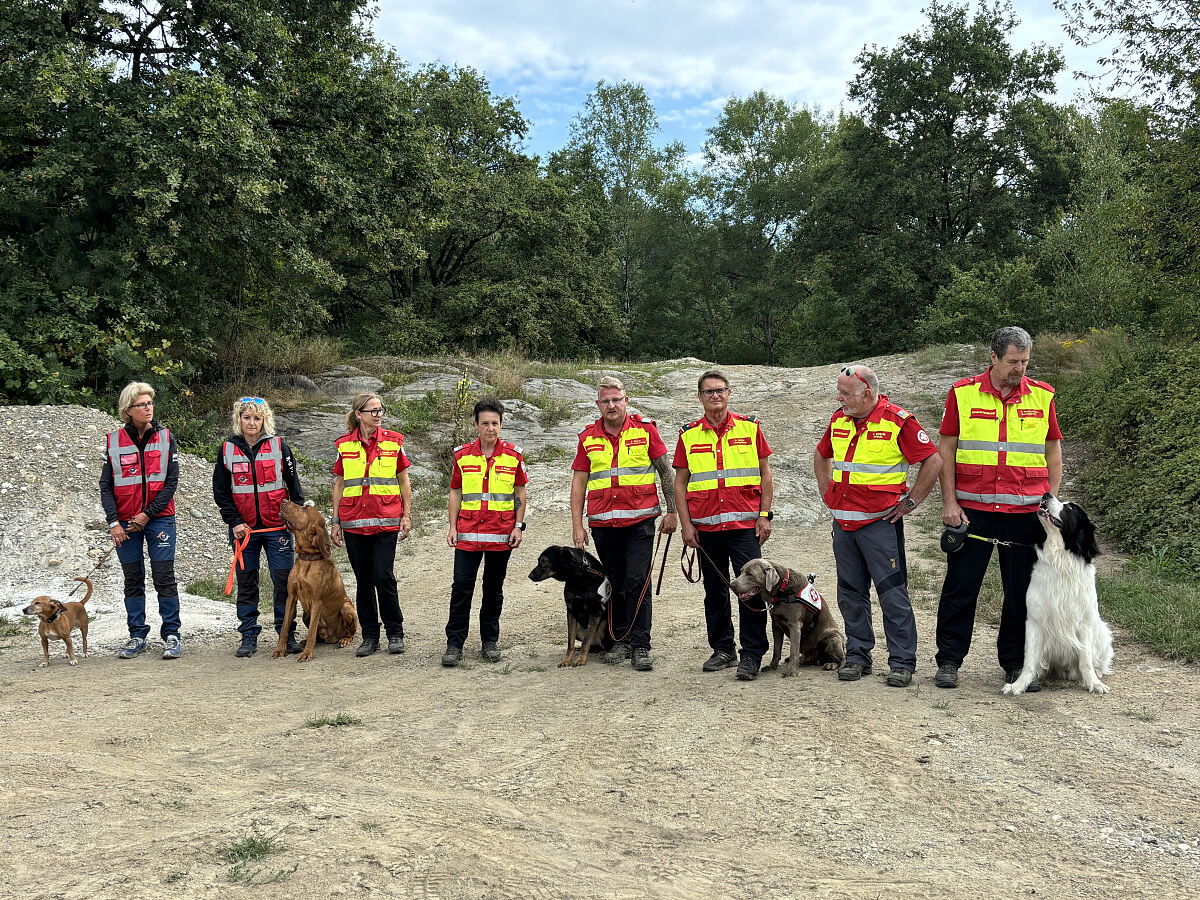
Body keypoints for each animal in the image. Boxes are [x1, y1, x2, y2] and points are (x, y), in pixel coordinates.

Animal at [274, 501, 357, 662]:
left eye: (305, 508)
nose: (283, 501)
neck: (307, 560)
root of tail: (331, 638)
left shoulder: (317, 601)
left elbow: (312, 631)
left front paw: (307, 653)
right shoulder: (291, 598)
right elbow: (284, 628)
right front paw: (279, 650)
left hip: (347, 607)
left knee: (350, 632)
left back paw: (344, 640)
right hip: (305, 614)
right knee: (317, 636)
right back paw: (305, 641)